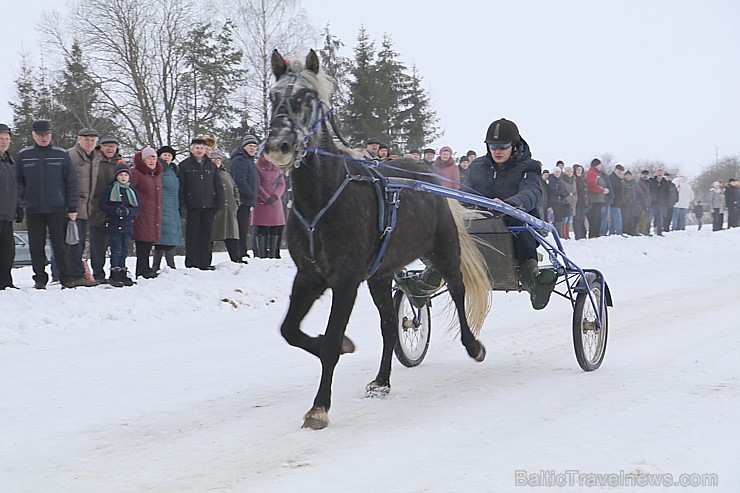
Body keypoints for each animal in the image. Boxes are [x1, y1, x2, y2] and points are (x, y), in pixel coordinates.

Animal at [264, 48, 492, 428]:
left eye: (306, 96)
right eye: (273, 96)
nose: (278, 145)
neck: (321, 198)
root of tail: (427, 171)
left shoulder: (345, 279)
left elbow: (329, 343)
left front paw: (319, 407)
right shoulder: (310, 276)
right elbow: (289, 330)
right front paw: (342, 345)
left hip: (444, 249)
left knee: (458, 291)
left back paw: (473, 346)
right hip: (381, 275)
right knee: (388, 325)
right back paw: (382, 380)